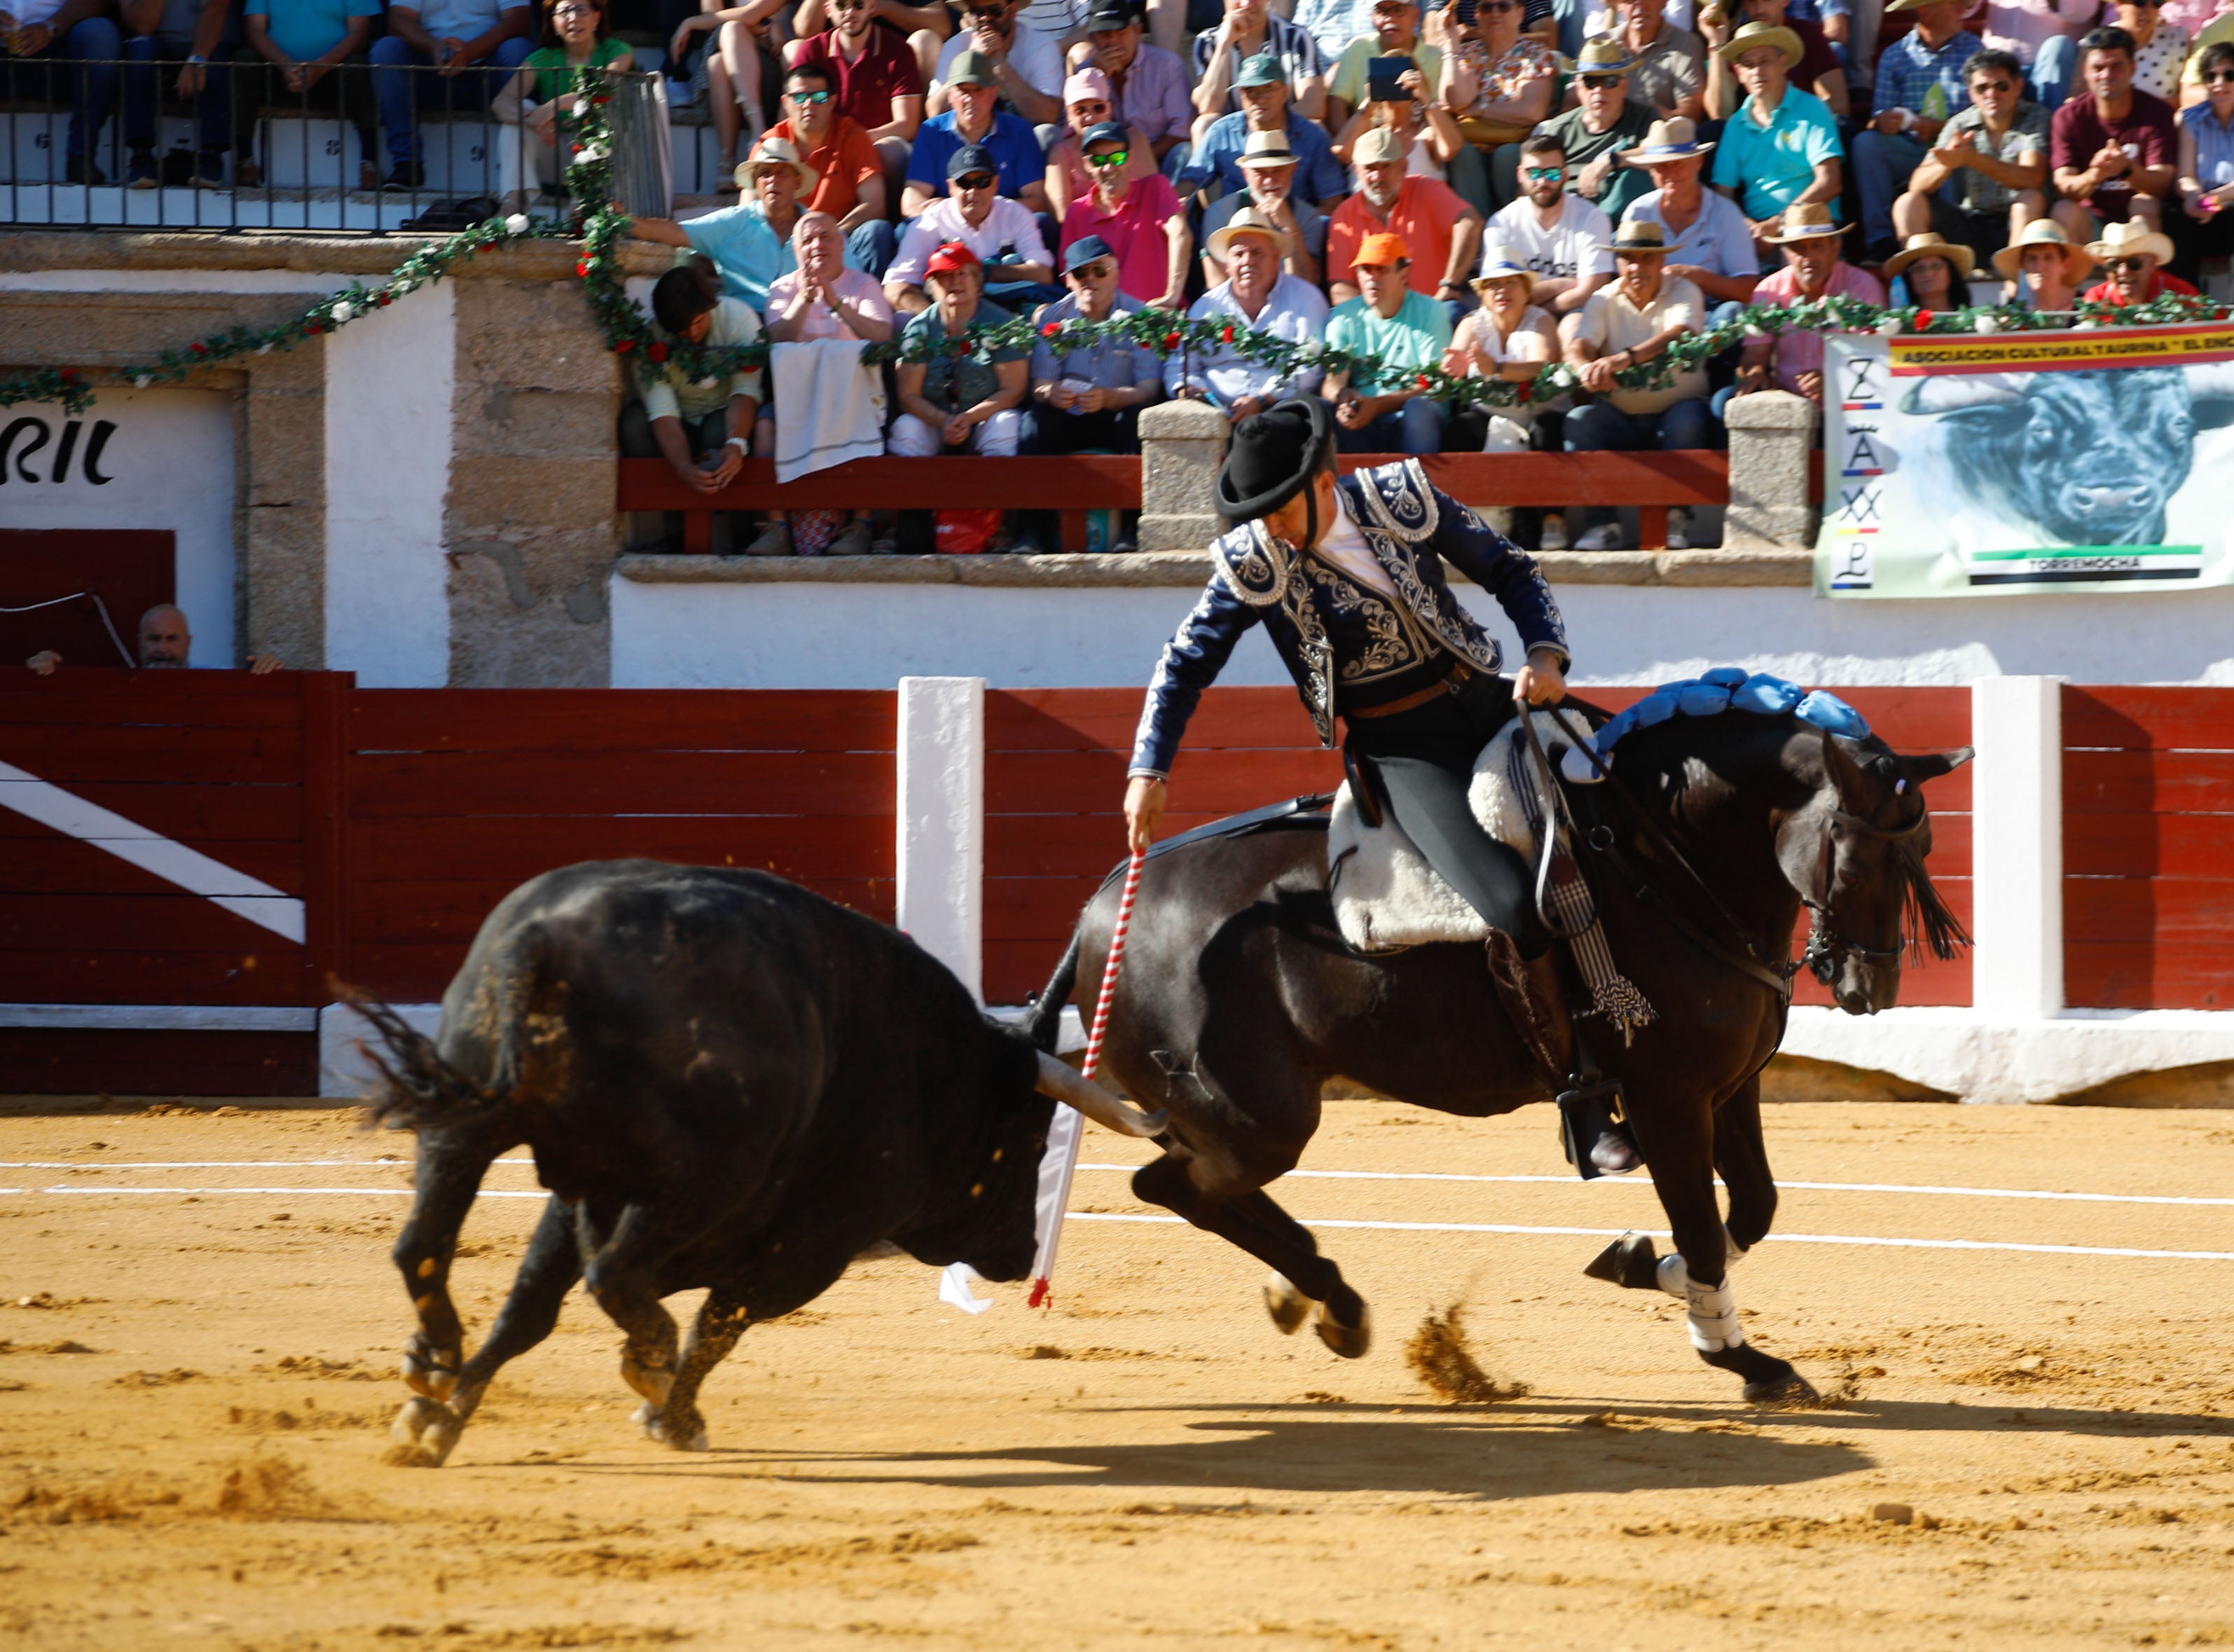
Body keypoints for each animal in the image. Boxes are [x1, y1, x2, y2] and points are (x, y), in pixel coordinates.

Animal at [348, 858, 1161, 1466]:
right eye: (1031, 1141)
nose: (1023, 1255)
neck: (932, 1068)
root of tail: (548, 940)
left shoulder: (579, 1192)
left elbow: (528, 1308)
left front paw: (437, 1421)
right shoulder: (813, 1244)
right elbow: (721, 1320)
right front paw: (672, 1417)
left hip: (464, 1125)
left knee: (423, 1246)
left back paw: (432, 1363)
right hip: (692, 1182)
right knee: (614, 1275)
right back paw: (642, 1361)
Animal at [1027, 710, 1975, 1412]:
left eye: (1924, 851)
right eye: (1858, 852)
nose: (1872, 988)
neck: (1662, 866)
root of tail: (1097, 907)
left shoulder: (1731, 1089)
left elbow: (1754, 1208)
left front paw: (1642, 1263)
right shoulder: (1667, 1099)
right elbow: (1706, 1225)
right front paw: (1741, 1358)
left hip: (1228, 1119)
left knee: (1197, 1187)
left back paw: (1318, 1299)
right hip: (1261, 1117)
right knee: (1172, 1185)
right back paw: (1330, 1298)